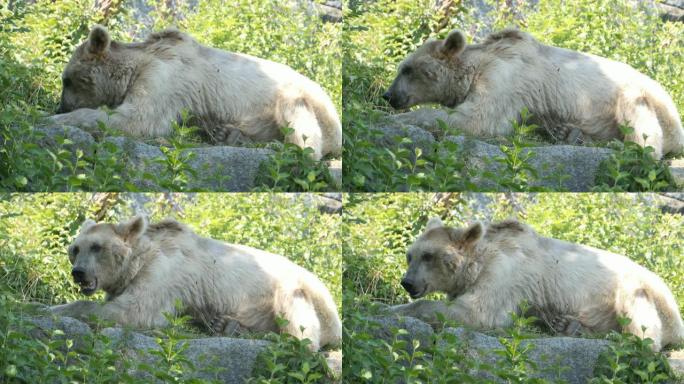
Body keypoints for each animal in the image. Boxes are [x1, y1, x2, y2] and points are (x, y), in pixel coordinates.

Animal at [48, 25, 342, 160]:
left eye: (66, 80)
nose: (61, 107)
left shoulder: (166, 77)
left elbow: (139, 119)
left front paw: (58, 120)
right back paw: (228, 134)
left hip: (305, 103)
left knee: (300, 122)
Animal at [49, 216, 342, 352]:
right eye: (75, 248)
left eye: (96, 247)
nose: (78, 273)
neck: (139, 261)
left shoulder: (163, 274)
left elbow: (134, 311)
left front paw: (51, 309)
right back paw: (226, 325)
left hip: (297, 292)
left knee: (298, 319)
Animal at [384, 28, 684, 158]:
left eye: (406, 69)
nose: (388, 95)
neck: (477, 65)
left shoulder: (505, 77)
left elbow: (480, 118)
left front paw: (403, 119)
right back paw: (570, 133)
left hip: (643, 100)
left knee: (640, 120)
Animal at [390, 218, 684, 350]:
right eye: (410, 255)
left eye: (428, 256)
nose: (407, 282)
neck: (479, 262)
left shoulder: (504, 274)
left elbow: (477, 312)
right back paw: (568, 325)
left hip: (640, 292)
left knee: (639, 317)